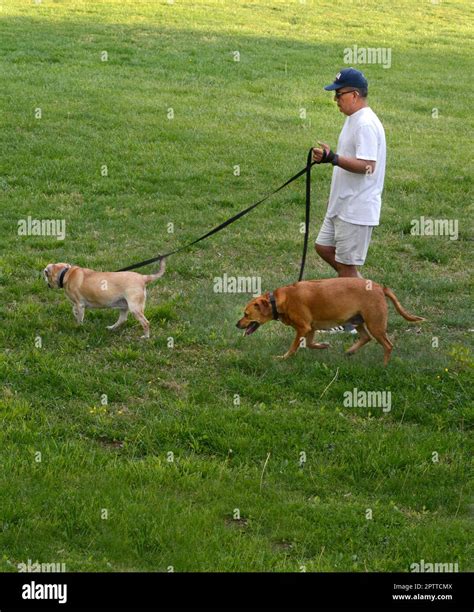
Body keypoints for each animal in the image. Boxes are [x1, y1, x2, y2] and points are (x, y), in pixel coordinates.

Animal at [237, 280, 426, 366]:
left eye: (246, 314)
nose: (237, 324)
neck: (278, 301)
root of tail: (380, 287)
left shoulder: (303, 327)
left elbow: (293, 347)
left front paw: (282, 358)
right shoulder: (310, 328)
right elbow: (311, 344)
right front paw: (323, 345)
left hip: (376, 324)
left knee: (387, 345)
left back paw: (384, 365)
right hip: (357, 320)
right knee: (366, 338)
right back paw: (350, 351)